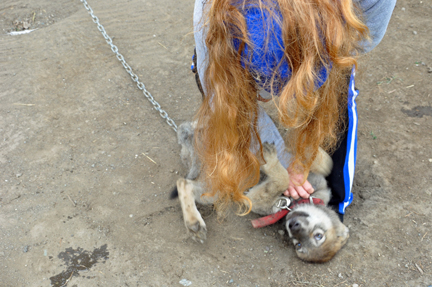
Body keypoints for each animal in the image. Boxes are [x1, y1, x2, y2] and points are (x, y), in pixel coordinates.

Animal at [171, 121, 348, 264]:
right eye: (319, 235)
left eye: (298, 244)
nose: (292, 225)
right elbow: (326, 163)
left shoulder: (255, 199)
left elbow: (283, 178)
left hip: (214, 188)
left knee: (184, 184)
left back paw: (194, 224)